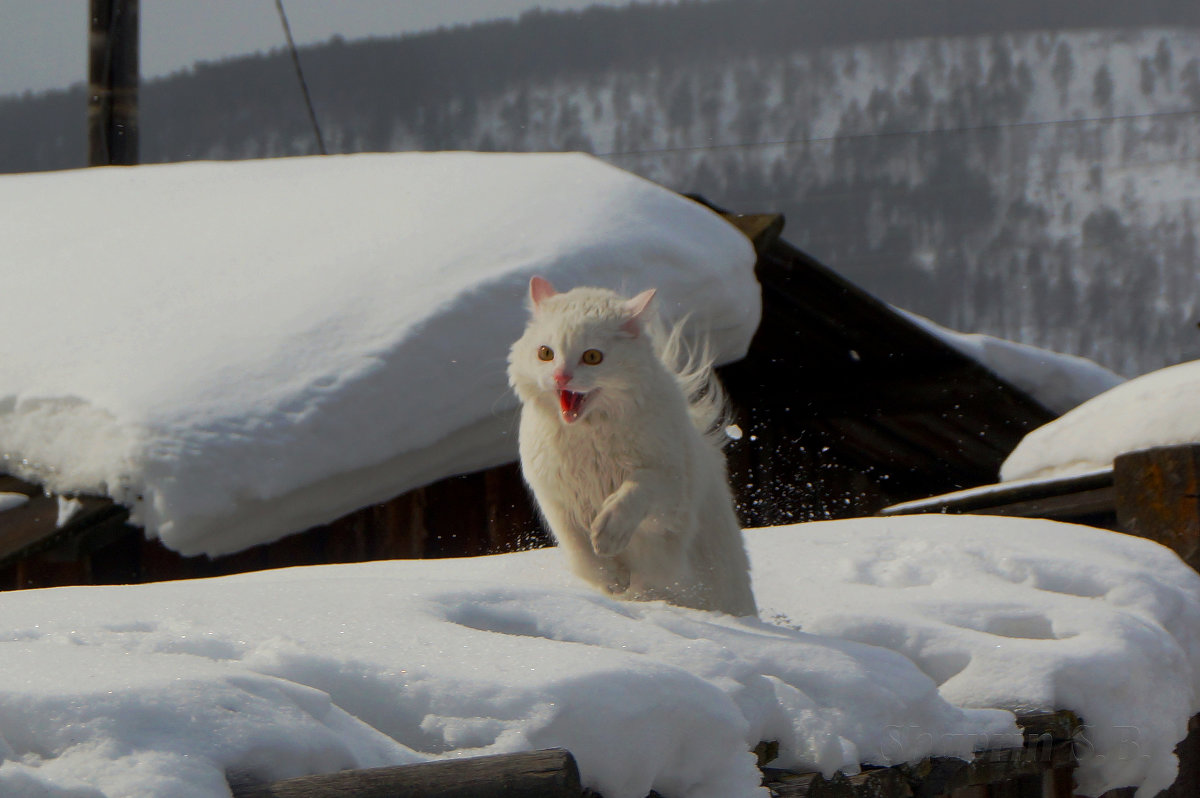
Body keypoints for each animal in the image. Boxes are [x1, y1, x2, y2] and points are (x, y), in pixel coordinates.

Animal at [508, 276, 758, 614]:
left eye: (592, 357)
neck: (589, 436)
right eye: (545, 353)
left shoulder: (670, 489)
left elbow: (634, 491)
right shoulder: (557, 501)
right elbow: (583, 555)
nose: (560, 377)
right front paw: (613, 580)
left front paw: (608, 534)